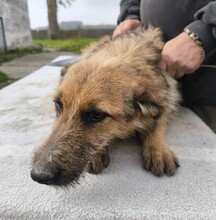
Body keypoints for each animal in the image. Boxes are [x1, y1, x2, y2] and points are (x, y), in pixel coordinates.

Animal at [30, 27, 181, 186]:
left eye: (97, 115)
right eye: (58, 105)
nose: (39, 175)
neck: (125, 52)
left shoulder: (166, 100)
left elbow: (158, 122)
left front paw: (158, 149)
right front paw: (98, 154)